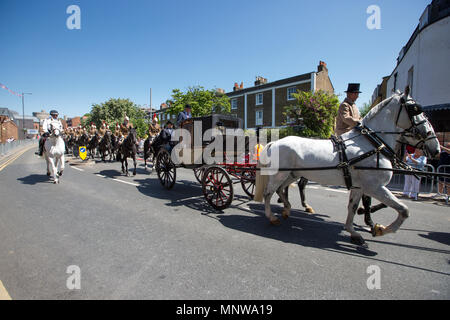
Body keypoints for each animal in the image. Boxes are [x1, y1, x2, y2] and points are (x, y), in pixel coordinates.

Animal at [255, 91, 442, 246]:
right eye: (416, 110)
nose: (436, 148)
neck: (371, 144)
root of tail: (274, 142)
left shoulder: (359, 186)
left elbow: (352, 207)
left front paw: (354, 231)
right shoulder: (374, 186)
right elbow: (404, 210)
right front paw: (380, 229)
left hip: (292, 174)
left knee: (281, 189)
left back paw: (287, 209)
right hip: (280, 174)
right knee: (268, 192)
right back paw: (272, 217)